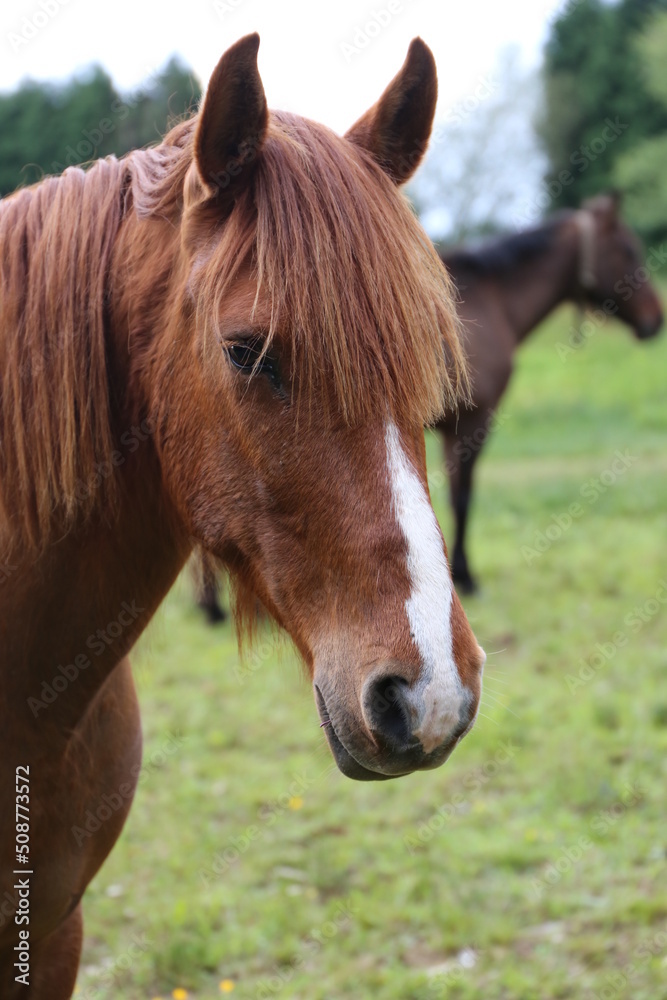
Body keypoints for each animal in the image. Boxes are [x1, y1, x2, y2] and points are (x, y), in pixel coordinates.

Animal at [436, 194, 664, 592]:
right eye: (628, 250)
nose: (656, 318)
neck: (488, 299)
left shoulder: (452, 431)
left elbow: (452, 497)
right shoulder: (472, 423)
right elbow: (463, 497)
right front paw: (465, 577)